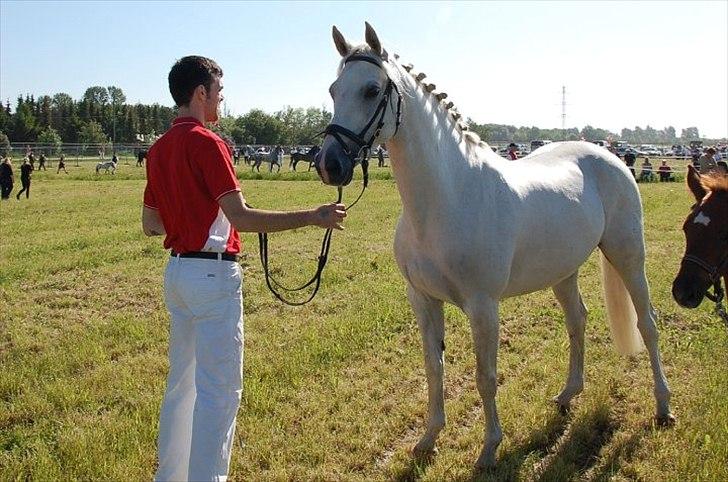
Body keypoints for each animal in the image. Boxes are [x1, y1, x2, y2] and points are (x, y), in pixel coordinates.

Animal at [316, 23, 672, 470]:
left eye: (371, 89)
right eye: (333, 89)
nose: (329, 164)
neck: (447, 199)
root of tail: (609, 157)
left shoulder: (483, 306)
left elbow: (485, 376)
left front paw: (489, 449)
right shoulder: (423, 300)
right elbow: (434, 368)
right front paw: (428, 439)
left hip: (628, 256)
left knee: (648, 324)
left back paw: (663, 407)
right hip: (563, 271)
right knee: (577, 321)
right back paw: (568, 394)